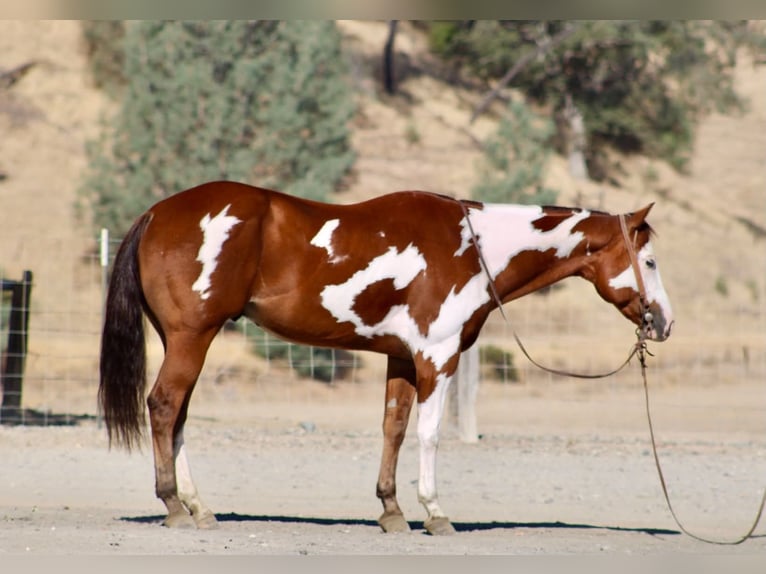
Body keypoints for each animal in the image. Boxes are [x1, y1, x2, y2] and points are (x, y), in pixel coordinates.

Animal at [98, 180, 673, 535]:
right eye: (648, 260)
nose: (664, 322)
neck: (474, 246)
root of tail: (156, 213)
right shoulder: (437, 357)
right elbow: (429, 432)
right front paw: (435, 512)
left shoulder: (402, 358)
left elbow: (393, 428)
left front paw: (392, 511)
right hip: (192, 336)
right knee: (165, 407)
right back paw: (174, 505)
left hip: (185, 339)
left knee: (178, 416)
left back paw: (198, 506)